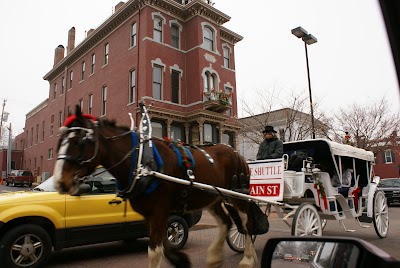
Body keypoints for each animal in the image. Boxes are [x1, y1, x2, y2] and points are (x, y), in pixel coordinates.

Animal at [54, 105, 266, 266]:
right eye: (60, 142)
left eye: (79, 141)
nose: (59, 182)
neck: (141, 162)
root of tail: (236, 152)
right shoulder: (151, 215)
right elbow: (163, 245)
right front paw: (180, 258)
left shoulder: (159, 211)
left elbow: (154, 251)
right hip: (212, 198)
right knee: (226, 222)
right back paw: (214, 257)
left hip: (237, 195)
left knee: (246, 223)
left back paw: (248, 258)